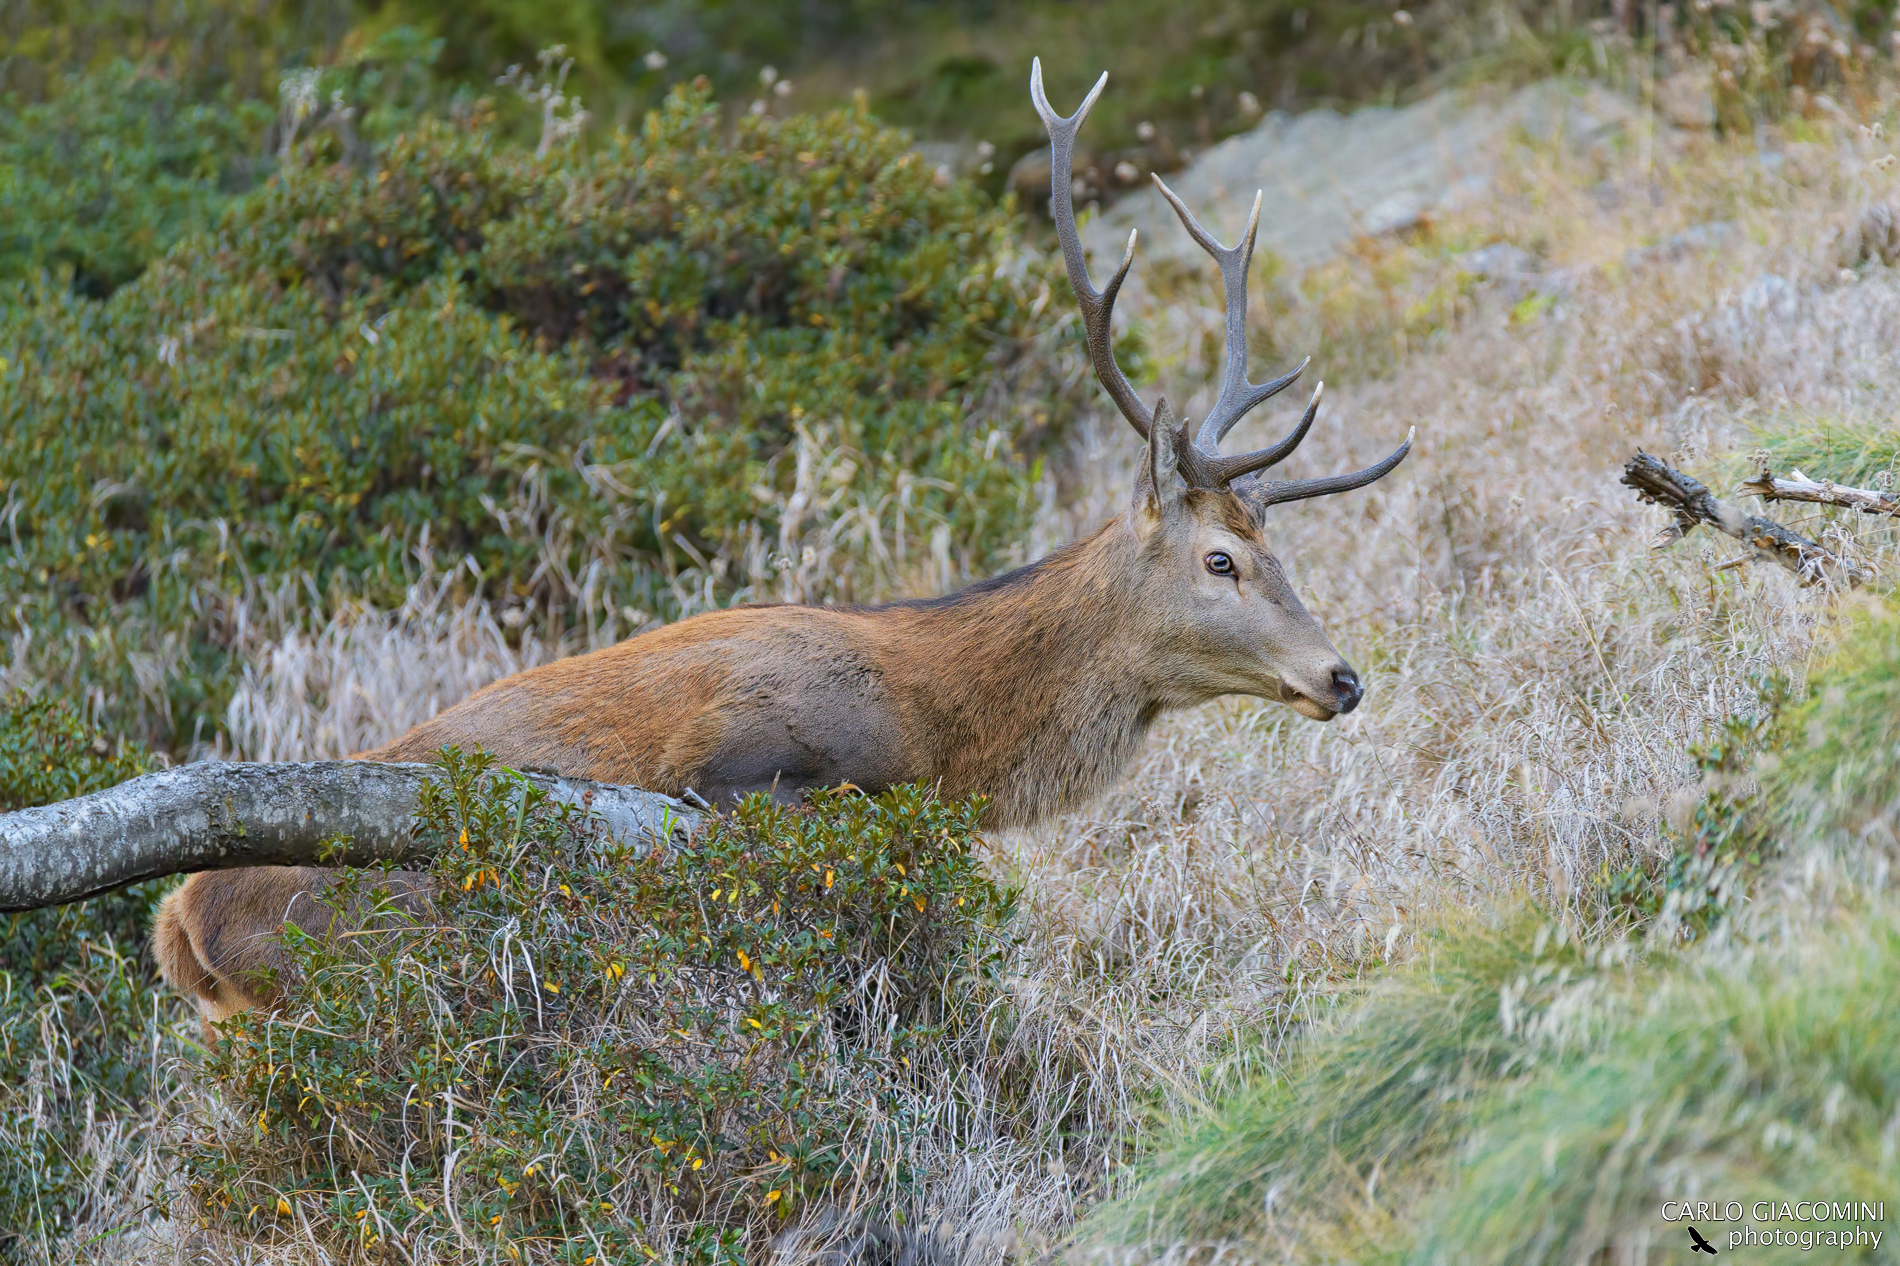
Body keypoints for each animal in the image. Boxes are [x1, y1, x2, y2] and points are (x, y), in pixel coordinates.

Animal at [154, 60, 1412, 1034]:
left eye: (1272, 549)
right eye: (1219, 561)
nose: (1341, 676)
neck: (934, 731)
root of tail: (182, 926)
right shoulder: (743, 771)